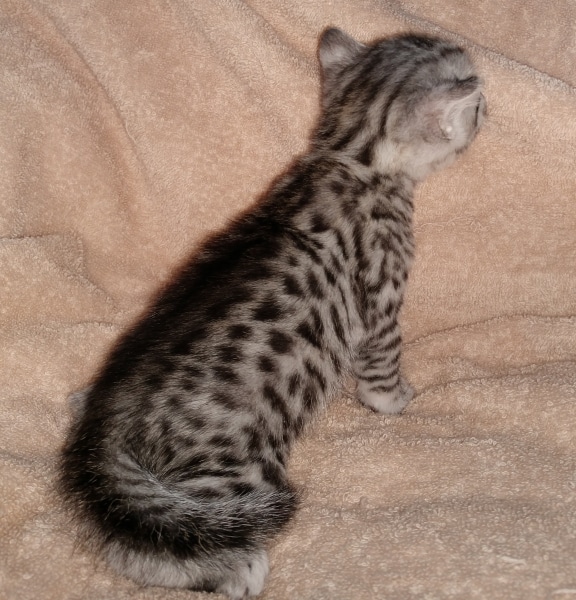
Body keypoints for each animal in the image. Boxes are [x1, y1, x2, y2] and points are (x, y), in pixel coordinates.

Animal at [59, 28, 485, 599]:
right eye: (475, 105)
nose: (487, 104)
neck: (349, 154)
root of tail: (106, 428)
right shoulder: (382, 295)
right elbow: (384, 363)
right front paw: (394, 399)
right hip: (234, 475)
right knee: (154, 545)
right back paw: (236, 568)